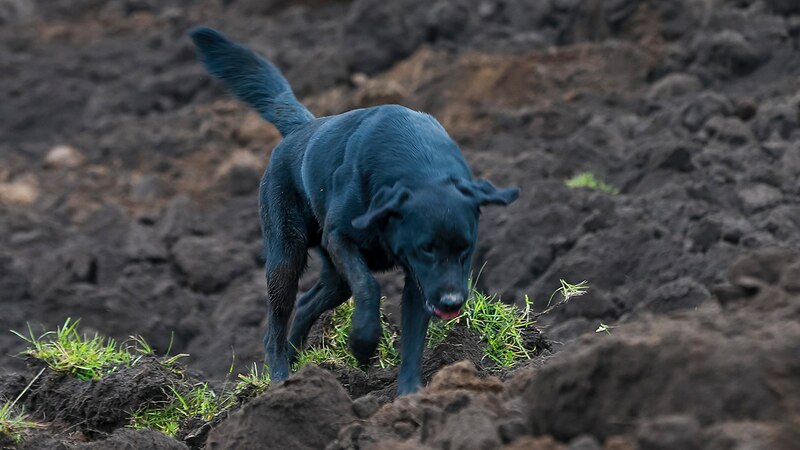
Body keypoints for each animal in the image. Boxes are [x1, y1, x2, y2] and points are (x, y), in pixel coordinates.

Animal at [189, 27, 520, 394]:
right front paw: (363, 343)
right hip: (286, 256)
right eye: (427, 248)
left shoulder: (419, 277)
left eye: (466, 248)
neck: (421, 165)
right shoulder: (343, 239)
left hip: (334, 277)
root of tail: (302, 128)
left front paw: (410, 393)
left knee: (307, 304)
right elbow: (369, 286)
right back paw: (280, 378)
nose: (450, 303)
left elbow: (414, 335)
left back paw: (298, 364)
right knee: (276, 325)